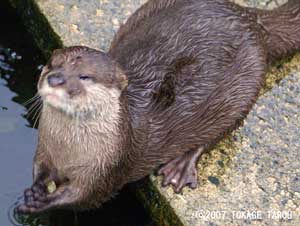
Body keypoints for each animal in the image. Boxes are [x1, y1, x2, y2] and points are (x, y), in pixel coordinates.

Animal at [17, 0, 300, 214]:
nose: (54, 79)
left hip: (244, 88)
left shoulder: (106, 170)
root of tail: (250, 18)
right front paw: (35, 189)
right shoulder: (44, 148)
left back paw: (180, 167)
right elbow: (38, 168)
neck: (68, 151)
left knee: (218, 131)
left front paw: (41, 202)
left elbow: (82, 198)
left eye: (84, 76)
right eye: (51, 64)